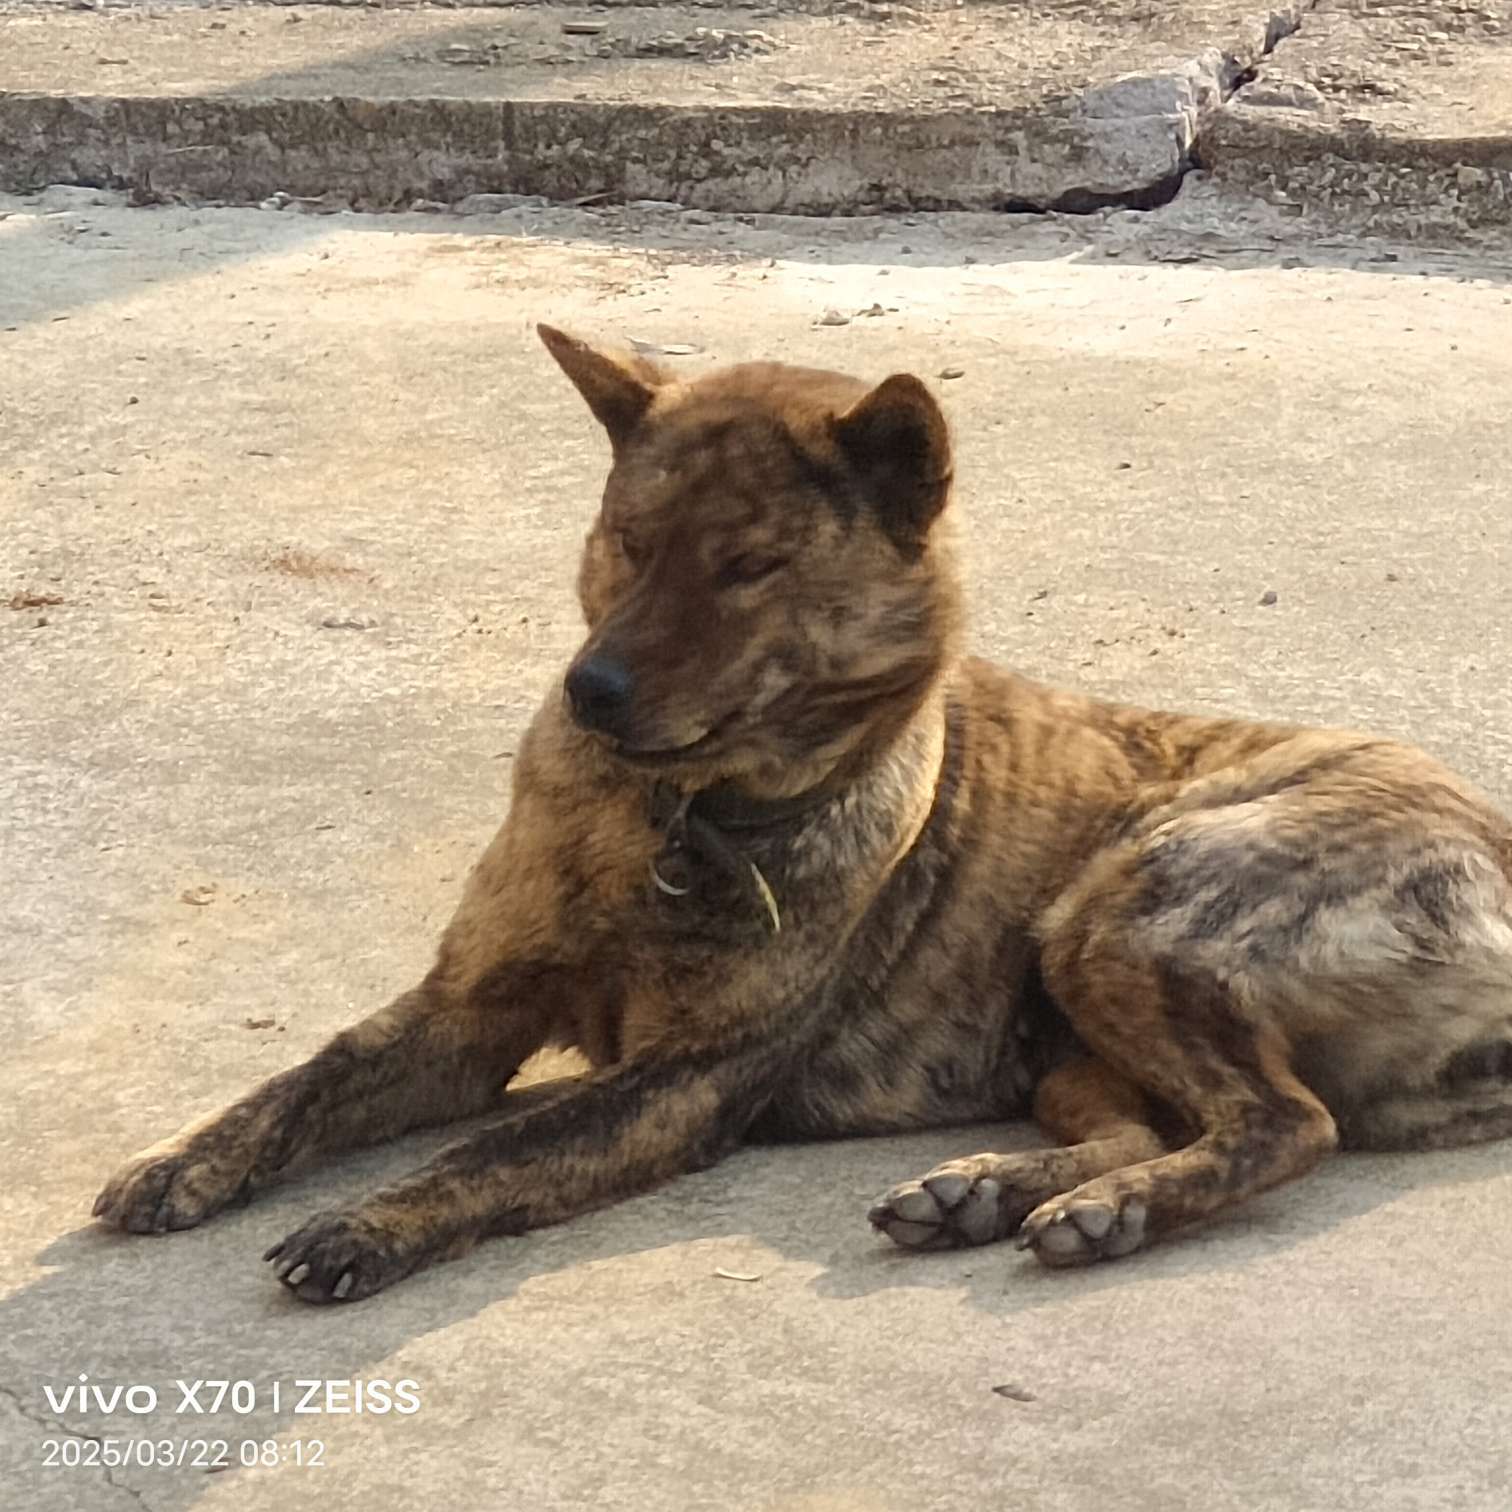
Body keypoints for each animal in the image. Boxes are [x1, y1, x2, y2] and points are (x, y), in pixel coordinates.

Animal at [93, 326, 1512, 1301]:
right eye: (627, 541)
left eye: (750, 567)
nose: (591, 693)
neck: (670, 819)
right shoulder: (465, 1013)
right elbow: (309, 1075)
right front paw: (182, 1158)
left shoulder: (683, 1079)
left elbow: (499, 1150)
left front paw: (370, 1221)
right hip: (1070, 1014)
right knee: (1162, 1119)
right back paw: (997, 1193)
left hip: (1124, 909)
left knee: (1283, 1122)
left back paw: (1106, 1213)